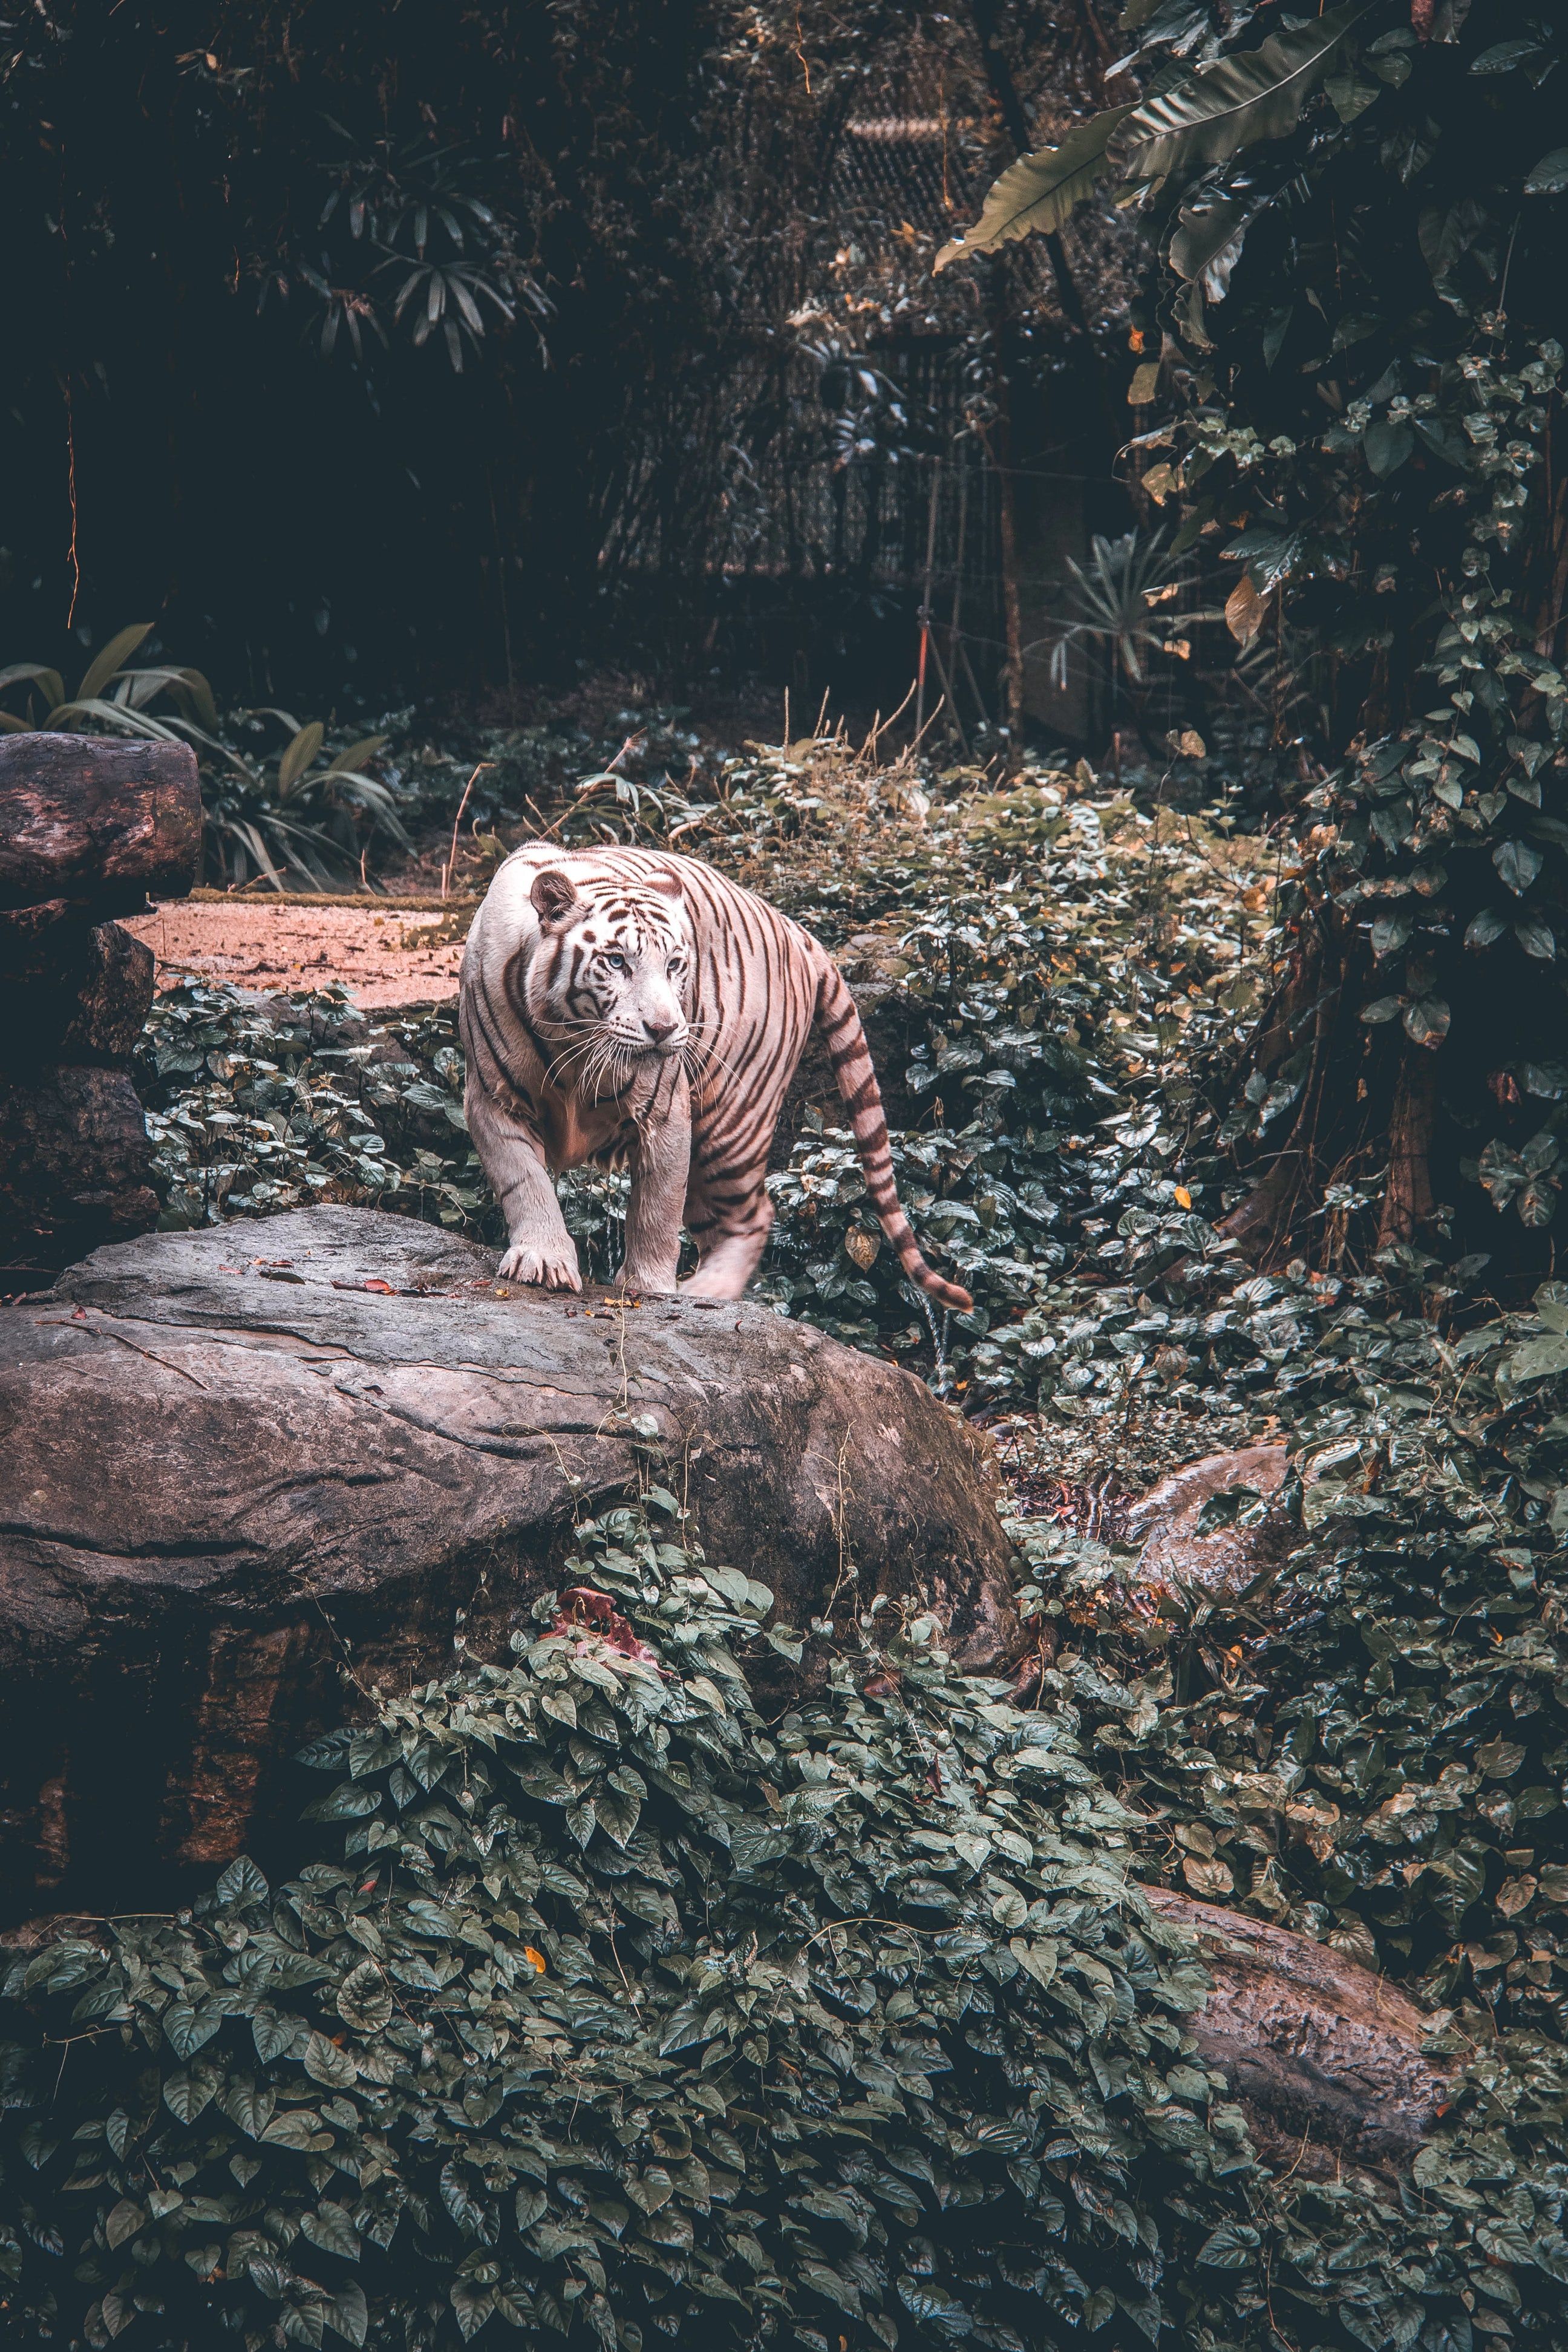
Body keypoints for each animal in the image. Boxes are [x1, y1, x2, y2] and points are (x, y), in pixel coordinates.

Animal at [457, 841, 972, 1312]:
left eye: (674, 964)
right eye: (616, 961)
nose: (664, 1029)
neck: (574, 1042)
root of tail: (793, 926)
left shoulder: (666, 1111)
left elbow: (657, 1208)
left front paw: (648, 1287)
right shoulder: (491, 1099)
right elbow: (525, 1181)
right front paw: (544, 1261)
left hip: (731, 1125)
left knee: (755, 1216)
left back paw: (706, 1292)